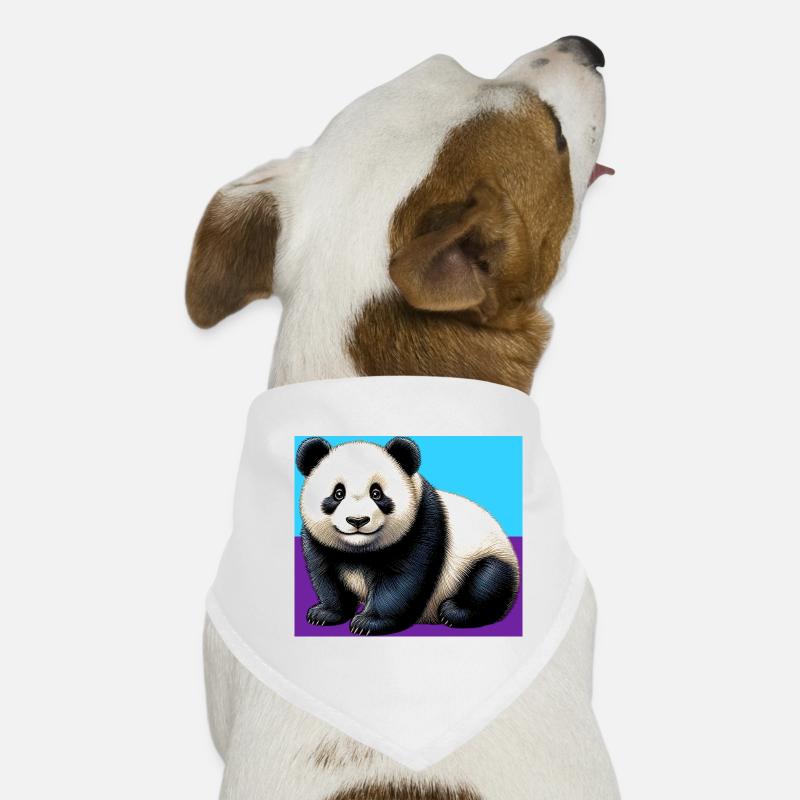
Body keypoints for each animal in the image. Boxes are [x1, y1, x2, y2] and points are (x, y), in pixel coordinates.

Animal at [296, 436, 520, 636]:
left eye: (376, 493)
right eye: (338, 493)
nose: (357, 520)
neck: (359, 550)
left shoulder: (421, 526)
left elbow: (401, 579)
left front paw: (368, 623)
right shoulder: (319, 542)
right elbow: (325, 575)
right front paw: (324, 613)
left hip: (487, 555)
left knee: (488, 580)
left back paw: (454, 611)